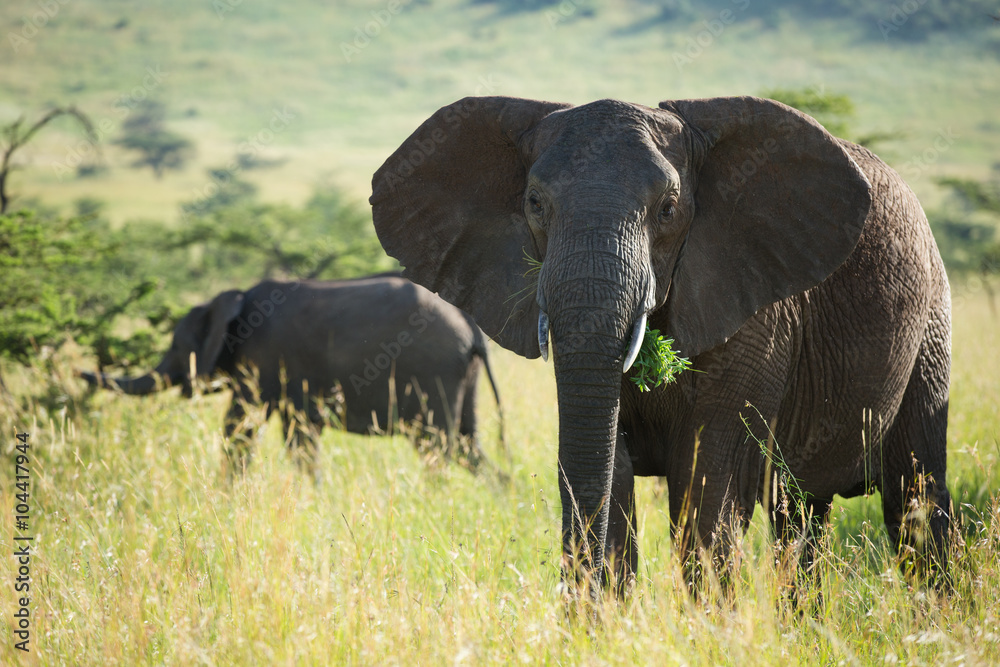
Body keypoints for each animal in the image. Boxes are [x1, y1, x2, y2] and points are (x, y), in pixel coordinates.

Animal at [82, 276, 504, 480]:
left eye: (176, 345)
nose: (78, 373)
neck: (236, 300)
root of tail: (471, 328)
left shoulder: (267, 360)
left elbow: (244, 426)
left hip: (433, 372)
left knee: (436, 447)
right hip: (459, 376)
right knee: (468, 446)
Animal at [370, 95, 952, 596]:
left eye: (669, 209)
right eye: (534, 204)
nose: (568, 604)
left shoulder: (757, 311)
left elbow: (707, 478)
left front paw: (710, 632)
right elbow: (612, 469)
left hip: (932, 322)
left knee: (915, 501)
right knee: (801, 514)